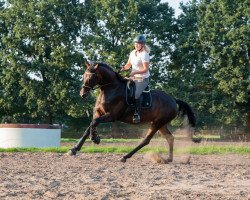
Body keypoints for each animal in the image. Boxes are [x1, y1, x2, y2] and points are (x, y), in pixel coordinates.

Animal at [67, 62, 200, 162]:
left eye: (90, 77)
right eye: (83, 75)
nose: (83, 94)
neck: (111, 89)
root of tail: (173, 100)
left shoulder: (112, 116)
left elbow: (94, 123)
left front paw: (95, 139)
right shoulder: (99, 113)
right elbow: (89, 126)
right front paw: (74, 149)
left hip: (157, 123)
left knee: (146, 140)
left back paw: (125, 156)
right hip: (161, 124)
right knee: (170, 138)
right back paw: (168, 159)